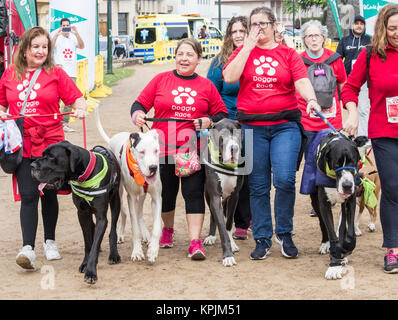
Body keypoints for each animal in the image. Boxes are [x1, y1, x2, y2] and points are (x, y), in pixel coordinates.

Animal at [95, 107, 162, 262]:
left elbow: (156, 227)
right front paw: (137, 252)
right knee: (125, 213)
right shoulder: (131, 197)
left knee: (139, 213)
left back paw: (146, 234)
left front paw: (153, 250)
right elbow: (134, 227)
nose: (153, 168)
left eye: (156, 150)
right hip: (119, 191)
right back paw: (120, 233)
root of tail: (113, 138)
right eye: (142, 151)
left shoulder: (156, 197)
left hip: (142, 195)